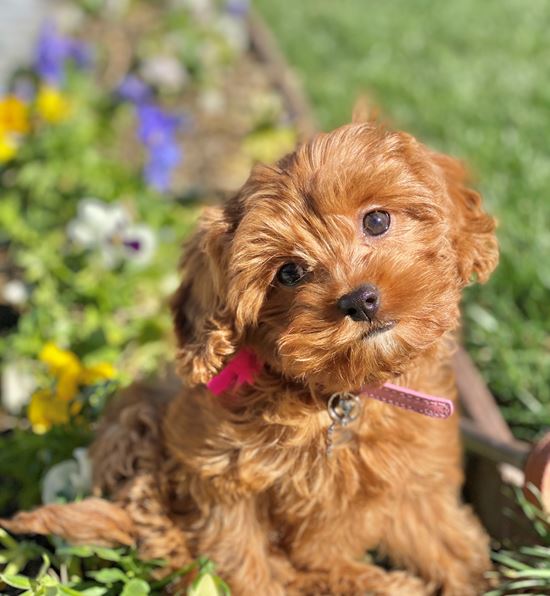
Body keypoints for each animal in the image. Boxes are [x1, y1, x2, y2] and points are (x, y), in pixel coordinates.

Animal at [2, 116, 500, 596]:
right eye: (289, 272)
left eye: (377, 221)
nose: (360, 300)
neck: (339, 397)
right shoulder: (217, 476)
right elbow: (243, 562)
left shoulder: (414, 482)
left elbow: (446, 543)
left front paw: (474, 580)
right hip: (135, 428)